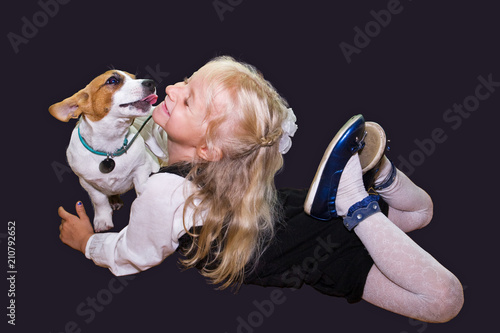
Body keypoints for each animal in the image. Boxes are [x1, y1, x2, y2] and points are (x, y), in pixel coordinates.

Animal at [50, 70, 160, 231]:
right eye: (112, 80)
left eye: (133, 77)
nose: (151, 83)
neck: (110, 148)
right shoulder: (87, 182)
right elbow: (100, 201)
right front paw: (102, 219)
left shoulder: (141, 169)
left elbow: (142, 190)